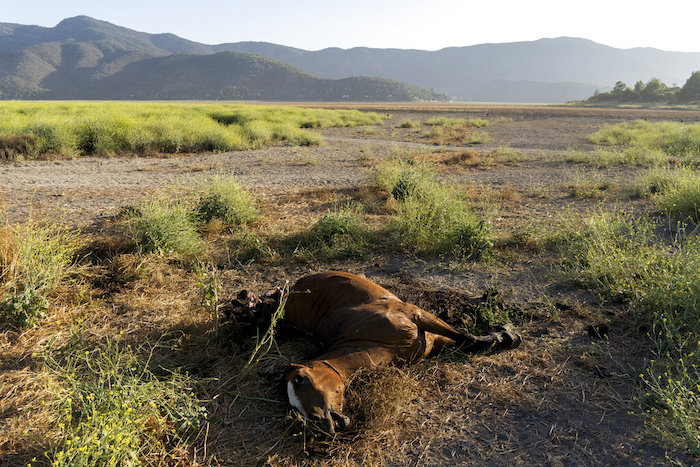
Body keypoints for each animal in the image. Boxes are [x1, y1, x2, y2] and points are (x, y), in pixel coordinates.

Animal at [284, 270, 520, 436]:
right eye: (294, 409)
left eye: (300, 379)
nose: (317, 426)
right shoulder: (433, 341)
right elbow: (468, 343)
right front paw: (504, 335)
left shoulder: (419, 316)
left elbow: (467, 338)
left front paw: (507, 334)